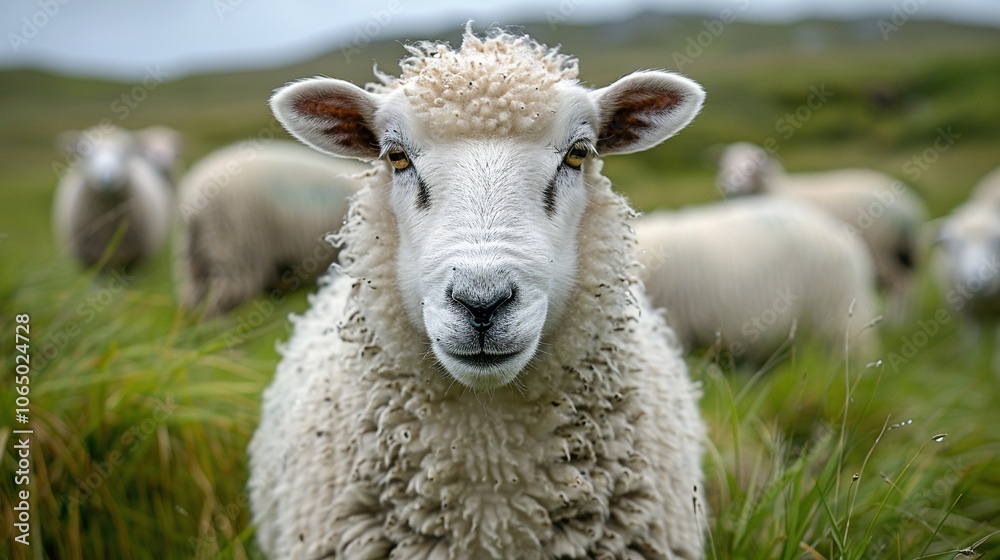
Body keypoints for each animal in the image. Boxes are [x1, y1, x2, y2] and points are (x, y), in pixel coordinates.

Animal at [716, 141, 928, 318]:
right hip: (899, 250)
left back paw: (896, 322)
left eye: (751, 167)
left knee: (900, 283)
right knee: (906, 282)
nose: (730, 186)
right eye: (724, 164)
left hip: (881, 247)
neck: (774, 189)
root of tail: (908, 206)